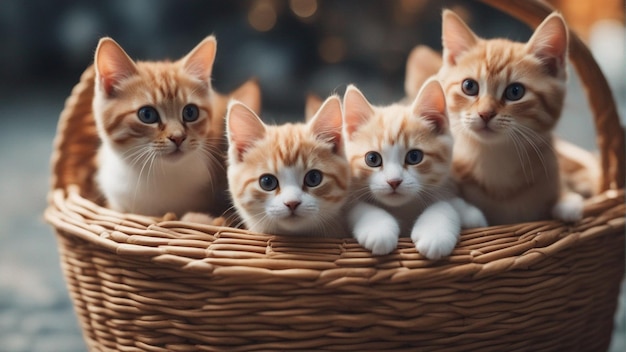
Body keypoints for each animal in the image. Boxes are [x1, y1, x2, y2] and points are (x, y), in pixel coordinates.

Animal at [342, 80, 482, 262]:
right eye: (372, 159)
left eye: (414, 157)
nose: (394, 181)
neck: (403, 208)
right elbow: (355, 207)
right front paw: (378, 228)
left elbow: (445, 203)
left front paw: (435, 233)